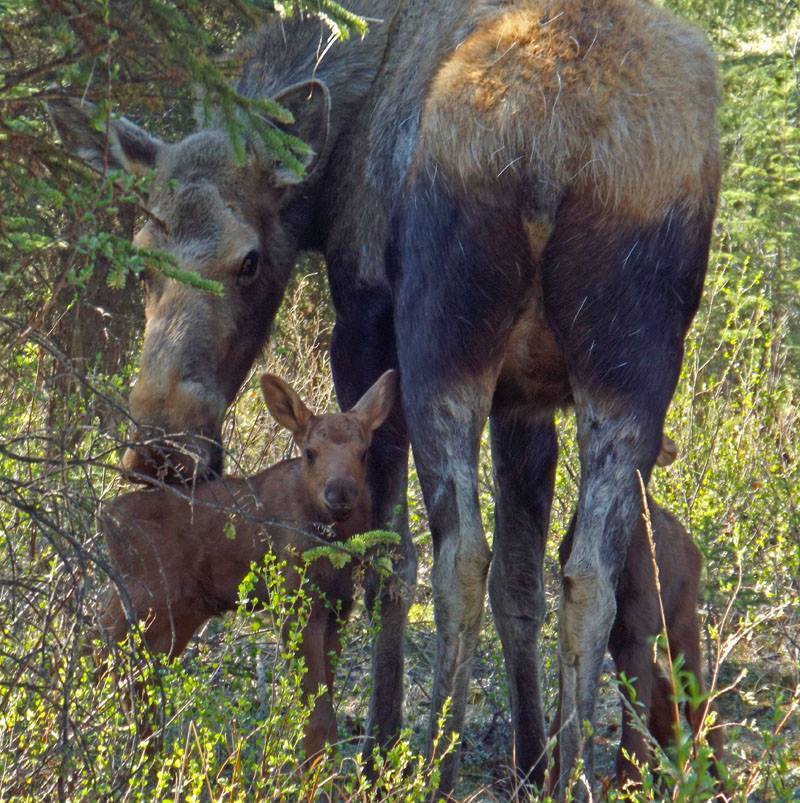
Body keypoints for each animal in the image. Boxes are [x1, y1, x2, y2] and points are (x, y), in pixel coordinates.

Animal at [98, 368, 398, 756]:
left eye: (363, 453)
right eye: (310, 453)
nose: (340, 494)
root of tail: (105, 516)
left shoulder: (339, 608)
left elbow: (324, 705)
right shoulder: (295, 603)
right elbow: (317, 720)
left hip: (178, 614)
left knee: (135, 674)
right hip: (141, 599)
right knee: (105, 653)